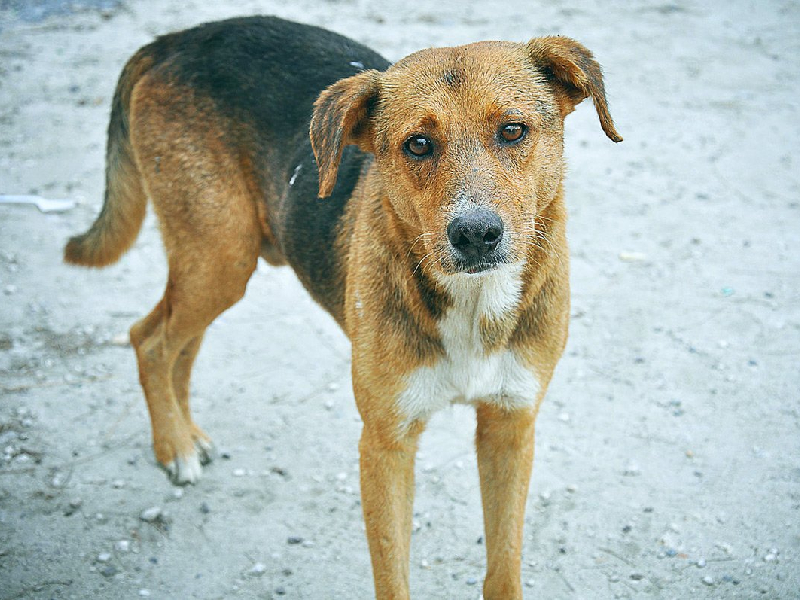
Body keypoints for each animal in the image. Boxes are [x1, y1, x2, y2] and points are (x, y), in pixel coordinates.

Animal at [65, 15, 620, 600]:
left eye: (513, 131)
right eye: (417, 144)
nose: (475, 235)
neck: (473, 302)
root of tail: (177, 39)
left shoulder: (510, 428)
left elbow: (504, 569)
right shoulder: (385, 444)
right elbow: (392, 577)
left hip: (217, 265)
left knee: (177, 344)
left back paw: (185, 434)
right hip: (219, 257)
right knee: (149, 338)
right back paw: (174, 446)